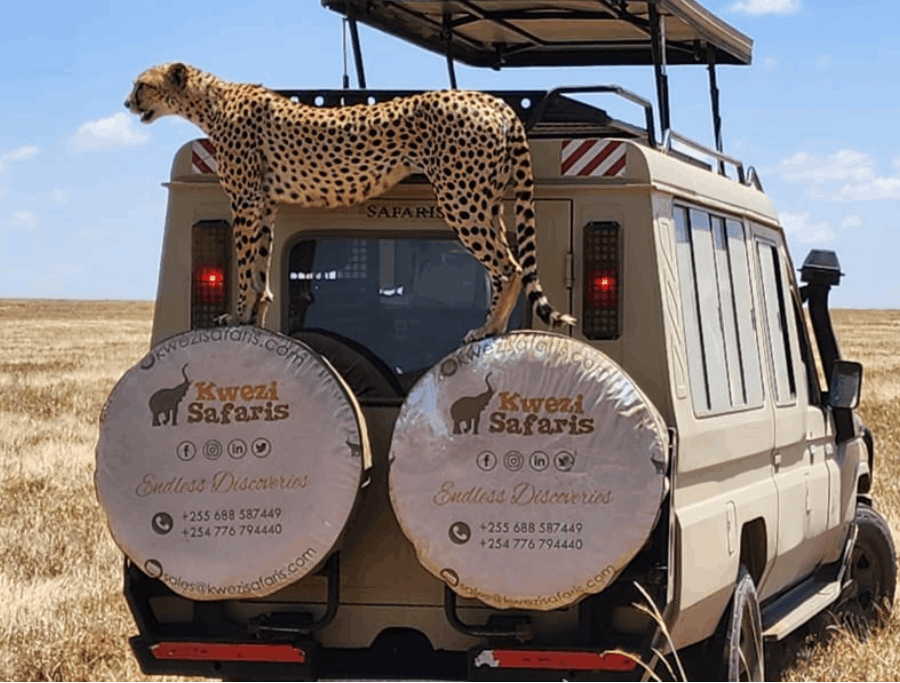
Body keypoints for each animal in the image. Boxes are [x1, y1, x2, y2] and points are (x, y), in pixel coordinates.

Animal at [124, 62, 576, 342]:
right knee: (501, 266)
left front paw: (235, 317)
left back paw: (489, 331)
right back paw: (493, 327)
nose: (127, 103)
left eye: (141, 84)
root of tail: (491, 100)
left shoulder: (246, 201)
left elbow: (245, 266)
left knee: (510, 265)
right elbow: (260, 271)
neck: (211, 101)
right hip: (487, 198)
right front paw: (254, 319)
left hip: (459, 197)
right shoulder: (266, 205)